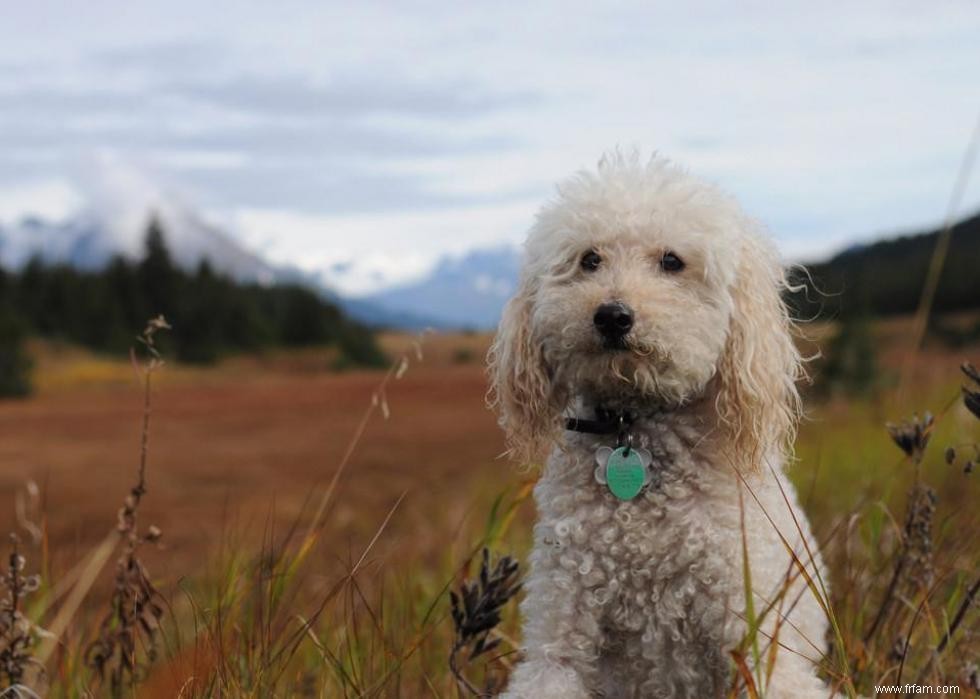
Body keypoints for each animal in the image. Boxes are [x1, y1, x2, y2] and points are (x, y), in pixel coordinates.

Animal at [486, 154, 832, 699]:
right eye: (589, 259)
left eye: (672, 261)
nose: (612, 315)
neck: (636, 430)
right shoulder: (559, 633)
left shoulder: (759, 640)